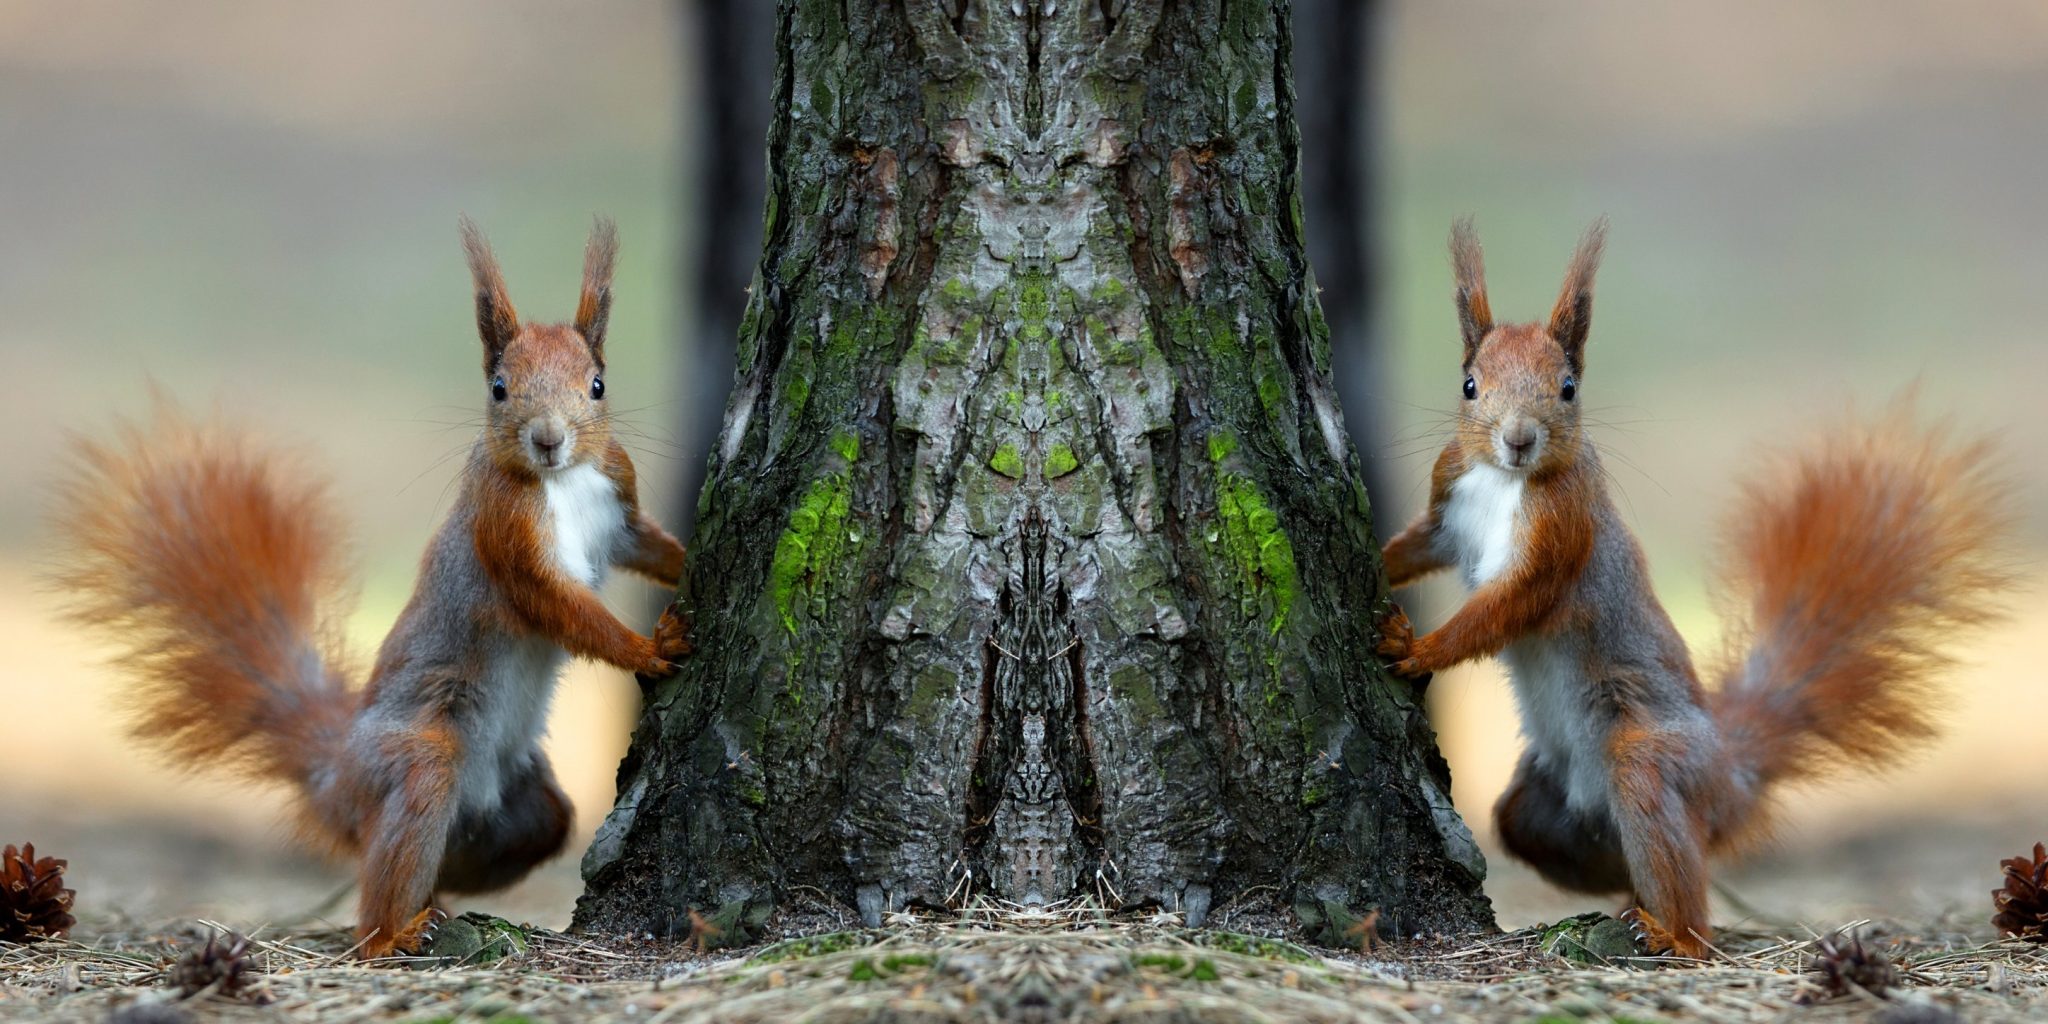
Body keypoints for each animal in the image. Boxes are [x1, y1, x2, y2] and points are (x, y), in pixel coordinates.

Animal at [53, 217, 692, 959]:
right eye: (499, 388)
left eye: (597, 385)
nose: (548, 439)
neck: (565, 482)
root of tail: (336, 776)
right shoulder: (508, 540)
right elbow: (563, 609)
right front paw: (649, 648)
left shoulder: (618, 505)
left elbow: (646, 544)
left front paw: (684, 565)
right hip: (416, 760)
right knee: (381, 875)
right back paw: (395, 932)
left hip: (525, 809)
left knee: (511, 831)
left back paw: (441, 899)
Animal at [1375, 217, 2011, 958]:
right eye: (1470, 385)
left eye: (1568, 387)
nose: (1519, 439)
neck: (1502, 482)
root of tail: (1730, 775)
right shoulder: (1449, 506)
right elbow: (1419, 545)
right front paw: (1383, 567)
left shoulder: (1559, 539)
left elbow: (1503, 609)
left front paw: (1418, 648)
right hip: (1542, 810)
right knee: (1556, 831)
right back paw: (1628, 898)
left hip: (1650, 760)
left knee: (1687, 880)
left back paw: (1670, 931)